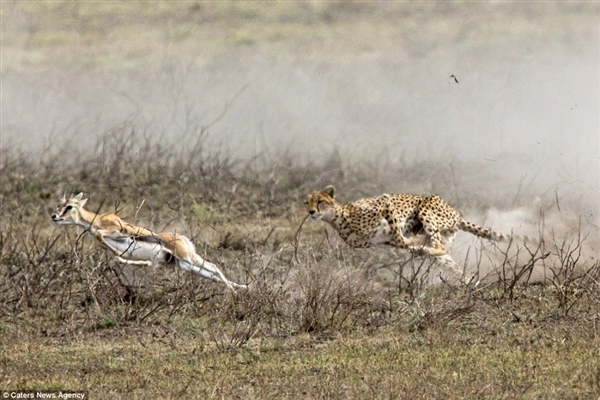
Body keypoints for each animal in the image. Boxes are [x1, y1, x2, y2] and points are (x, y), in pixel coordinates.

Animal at [308, 185, 512, 260]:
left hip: (426, 206)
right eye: (307, 202)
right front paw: (415, 242)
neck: (337, 218)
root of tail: (456, 214)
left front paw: (414, 243)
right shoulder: (383, 240)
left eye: (320, 201)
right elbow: (399, 240)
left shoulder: (385, 201)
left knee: (441, 247)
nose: (310, 212)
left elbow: (400, 237)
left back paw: (423, 249)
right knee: (444, 248)